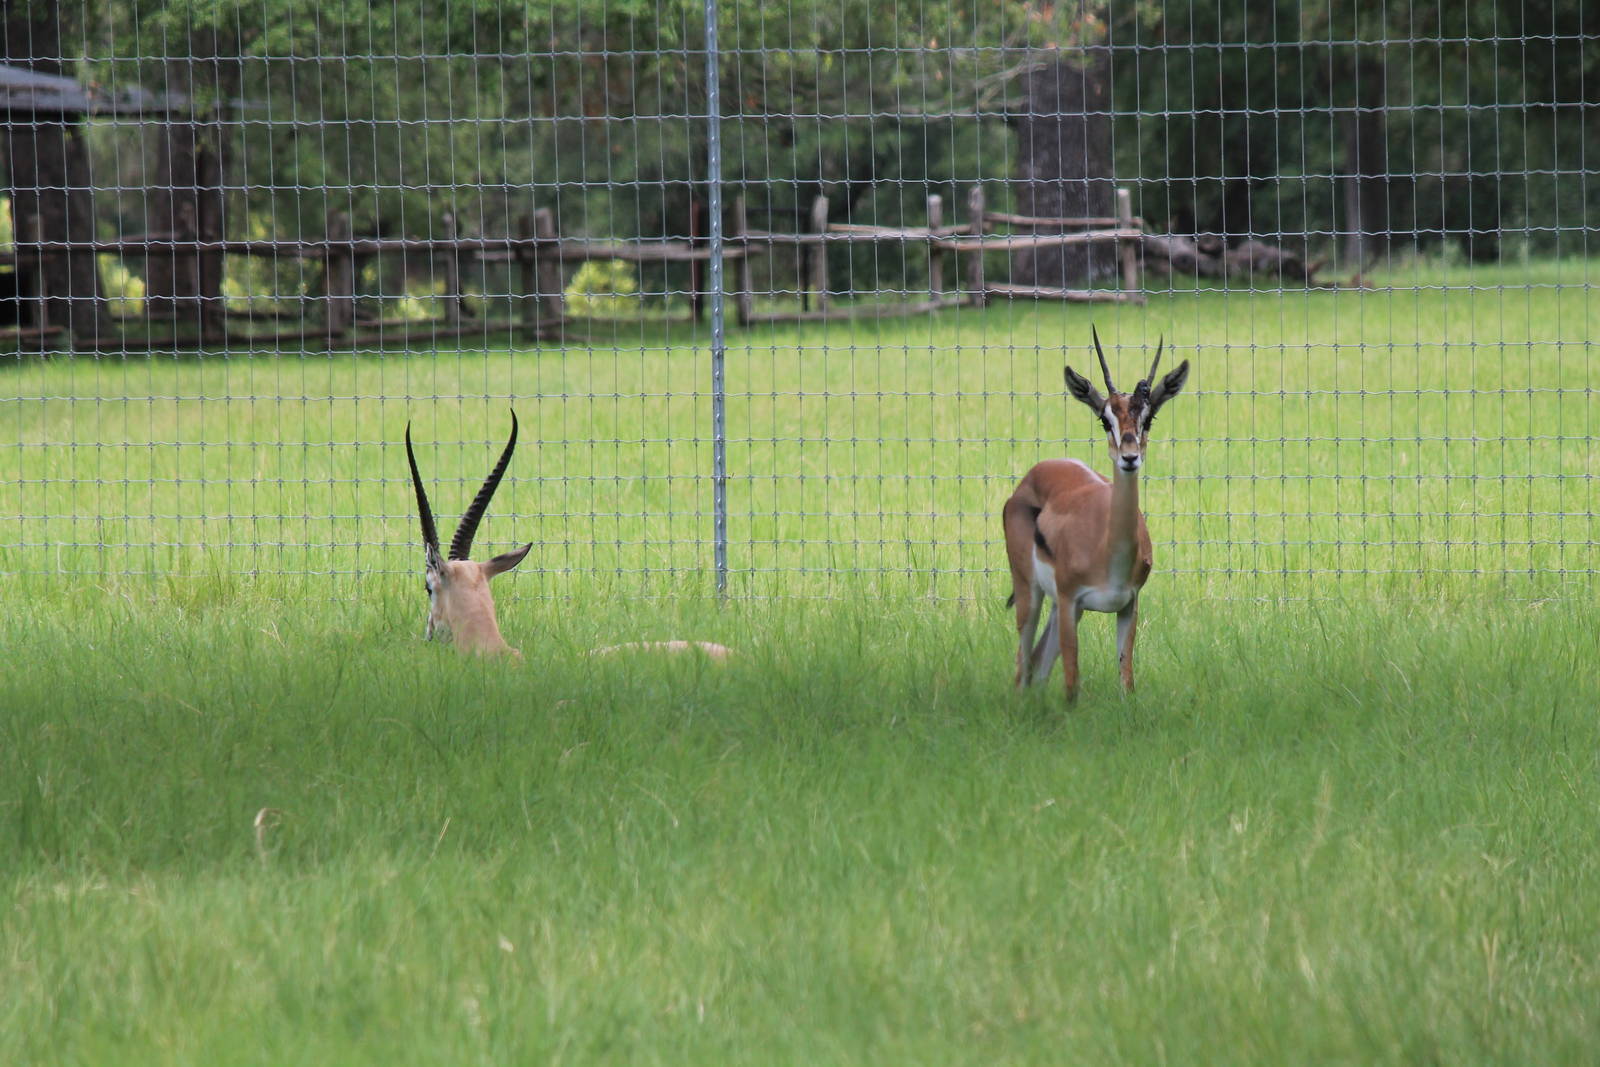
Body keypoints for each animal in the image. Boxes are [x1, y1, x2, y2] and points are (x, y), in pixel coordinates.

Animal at [1003, 328, 1190, 701]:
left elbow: (1126, 680)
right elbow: (1072, 683)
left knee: (1037, 663)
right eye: (1105, 419)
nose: (1130, 458)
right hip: (1032, 593)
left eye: (1149, 418)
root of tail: (1035, 473)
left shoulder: (1127, 604)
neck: (1106, 550)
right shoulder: (1070, 599)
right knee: (1022, 662)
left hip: (1059, 609)